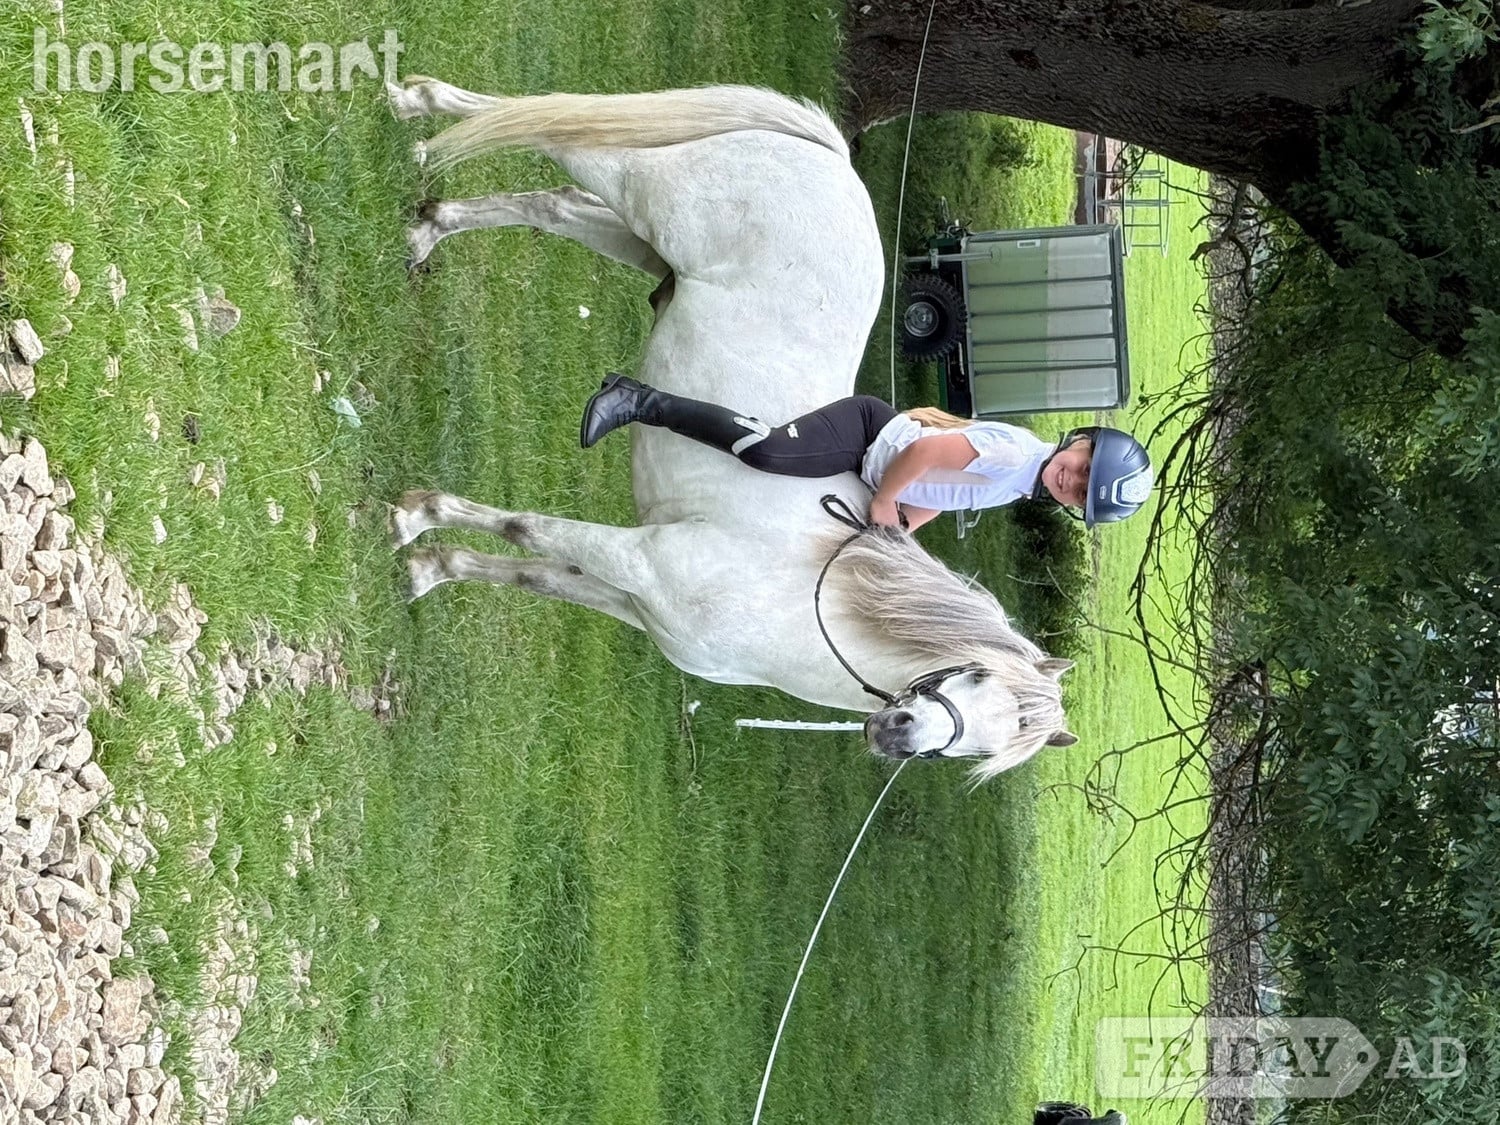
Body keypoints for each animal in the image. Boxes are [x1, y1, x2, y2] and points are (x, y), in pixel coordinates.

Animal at [386, 78, 1078, 780]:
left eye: (979, 750)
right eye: (976, 678)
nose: (899, 734)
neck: (805, 601)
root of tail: (832, 159)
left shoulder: (631, 595)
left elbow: (532, 573)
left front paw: (431, 569)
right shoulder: (640, 557)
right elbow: (524, 528)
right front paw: (415, 518)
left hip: (634, 236)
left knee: (552, 205)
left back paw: (427, 222)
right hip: (639, 190)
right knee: (554, 131)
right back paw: (416, 112)